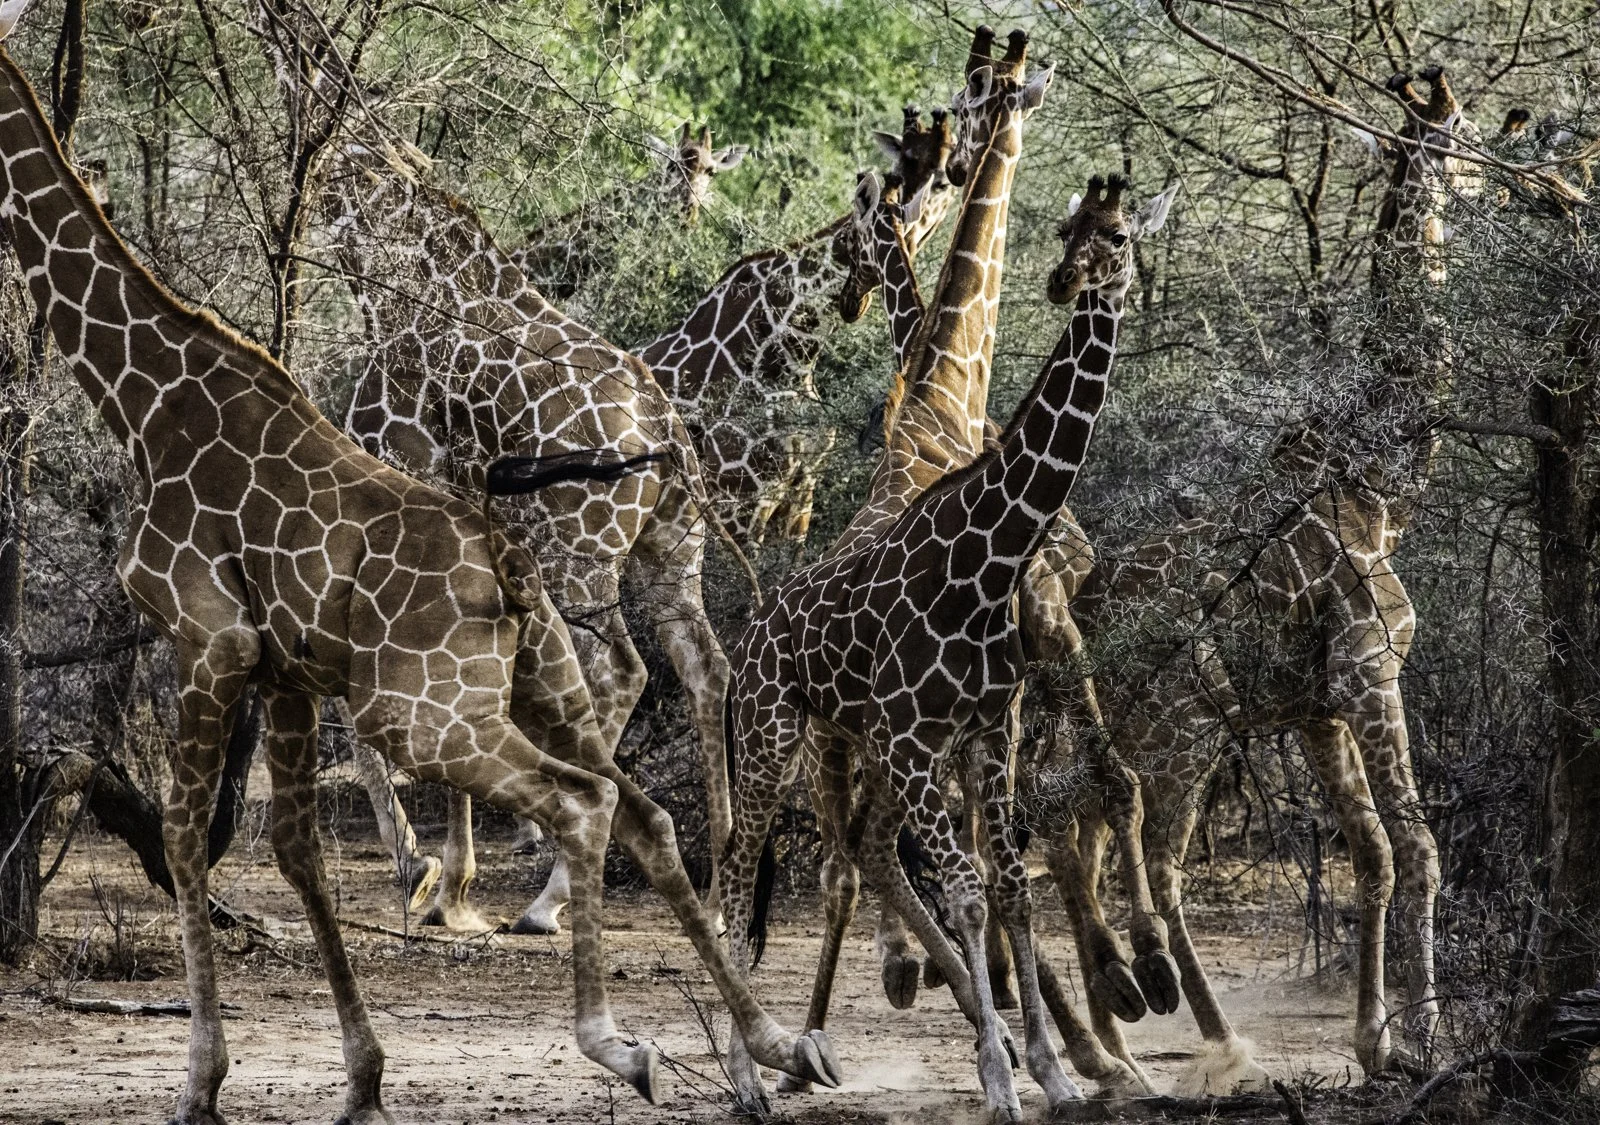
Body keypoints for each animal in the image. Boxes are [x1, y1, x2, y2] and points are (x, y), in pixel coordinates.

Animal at [1055, 66, 1478, 1085]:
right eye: (1465, 132)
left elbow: (1370, 850)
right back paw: (1209, 1036)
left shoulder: (1315, 703)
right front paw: (1430, 1038)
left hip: (1122, 733)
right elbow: (1420, 845)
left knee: (1065, 832)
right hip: (1186, 732)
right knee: (1156, 865)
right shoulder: (1370, 668)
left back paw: (1115, 1033)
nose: (1483, 178)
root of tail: (1082, 611)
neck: (1374, 476)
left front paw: (1377, 1037)